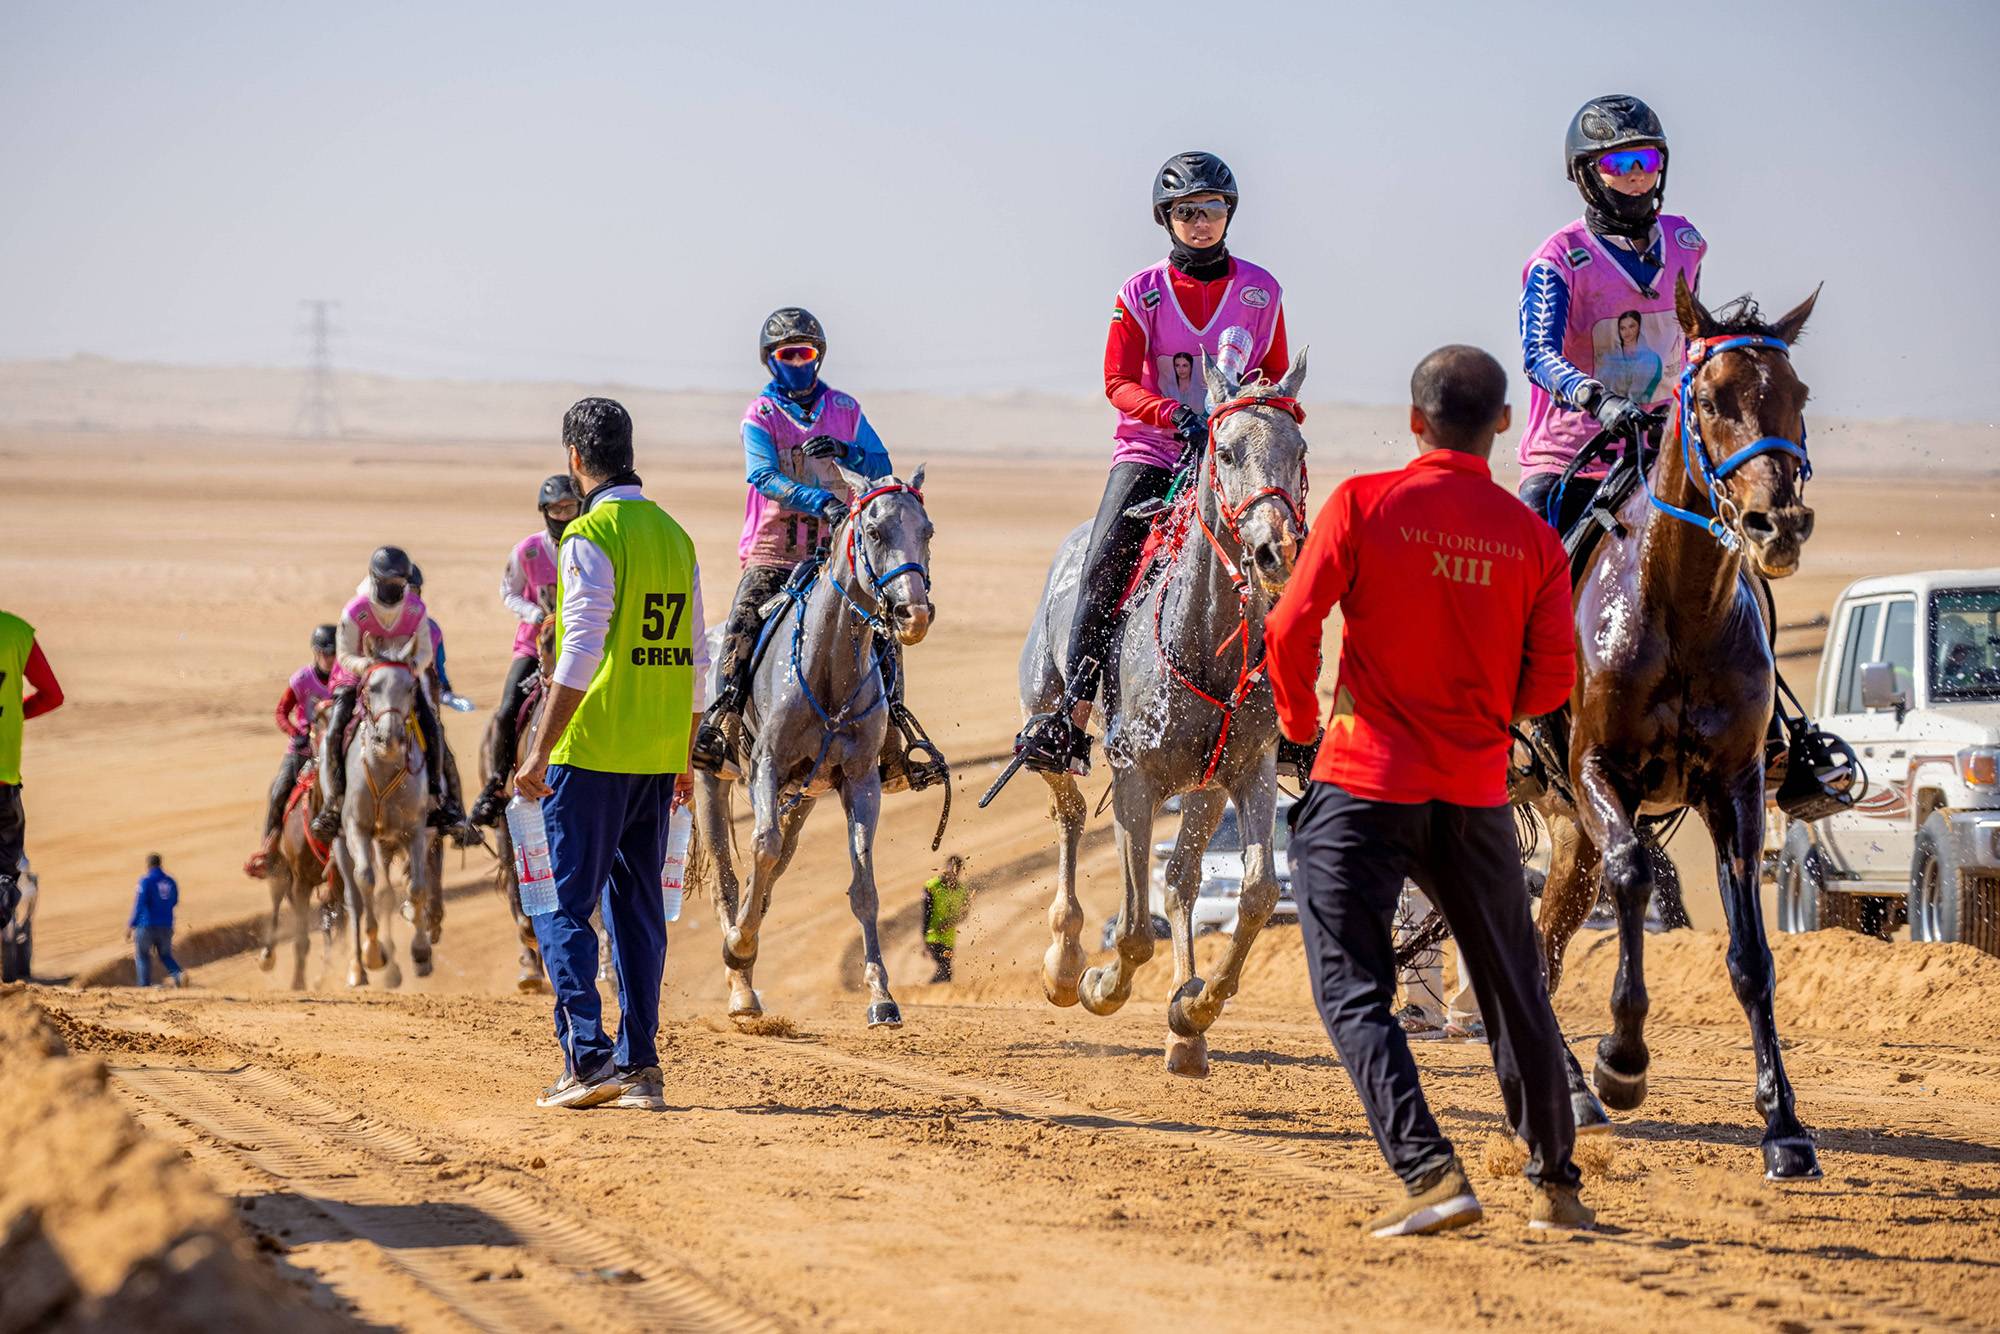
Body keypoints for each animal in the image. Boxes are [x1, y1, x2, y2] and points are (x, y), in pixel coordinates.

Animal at [324, 660, 434, 988]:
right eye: (371, 688)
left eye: (410, 688)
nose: (389, 738)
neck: (385, 768)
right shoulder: (358, 829)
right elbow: (367, 882)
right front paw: (374, 954)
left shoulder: (416, 830)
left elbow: (416, 887)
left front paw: (421, 953)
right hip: (341, 842)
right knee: (356, 899)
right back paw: (358, 969)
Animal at [692, 464, 932, 1032]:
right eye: (874, 532)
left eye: (928, 532)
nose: (913, 615)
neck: (828, 671)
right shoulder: (767, 766)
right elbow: (760, 847)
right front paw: (738, 946)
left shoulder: (860, 782)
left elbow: (863, 887)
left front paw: (882, 996)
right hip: (712, 782)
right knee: (727, 876)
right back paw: (741, 985)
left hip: (802, 797)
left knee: (774, 869)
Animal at [1016, 350, 1312, 1080]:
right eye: (1226, 450)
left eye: (1298, 450)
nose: (1275, 551)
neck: (1202, 642)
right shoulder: (1136, 781)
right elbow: (1131, 927)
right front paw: (1099, 986)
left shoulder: (1247, 772)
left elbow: (1255, 891)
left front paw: (1195, 1007)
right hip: (1046, 718)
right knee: (1068, 812)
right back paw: (1063, 964)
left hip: (1203, 789)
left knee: (1181, 881)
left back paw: (1186, 1033)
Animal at [1528, 280, 1832, 1176]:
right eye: (1707, 399)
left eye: (1798, 395)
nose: (1777, 524)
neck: (1682, 607)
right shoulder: (1599, 770)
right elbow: (1634, 874)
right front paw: (1623, 1061)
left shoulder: (1736, 788)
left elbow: (1752, 956)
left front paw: (1784, 1125)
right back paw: (1584, 1085)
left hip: (1570, 833)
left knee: (1542, 945)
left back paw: (1570, 1092)